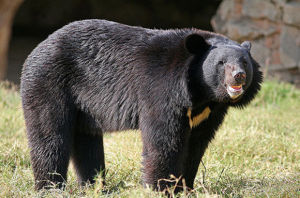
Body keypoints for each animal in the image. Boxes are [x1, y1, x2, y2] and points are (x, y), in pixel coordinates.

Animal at [20, 19, 262, 192]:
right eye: (221, 63)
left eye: (244, 62)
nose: (239, 76)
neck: (202, 94)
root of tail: (36, 49)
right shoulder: (162, 90)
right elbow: (163, 139)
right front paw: (160, 188)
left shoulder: (209, 113)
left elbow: (196, 144)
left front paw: (185, 188)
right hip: (49, 83)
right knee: (49, 135)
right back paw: (50, 187)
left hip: (83, 106)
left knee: (86, 141)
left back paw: (95, 186)